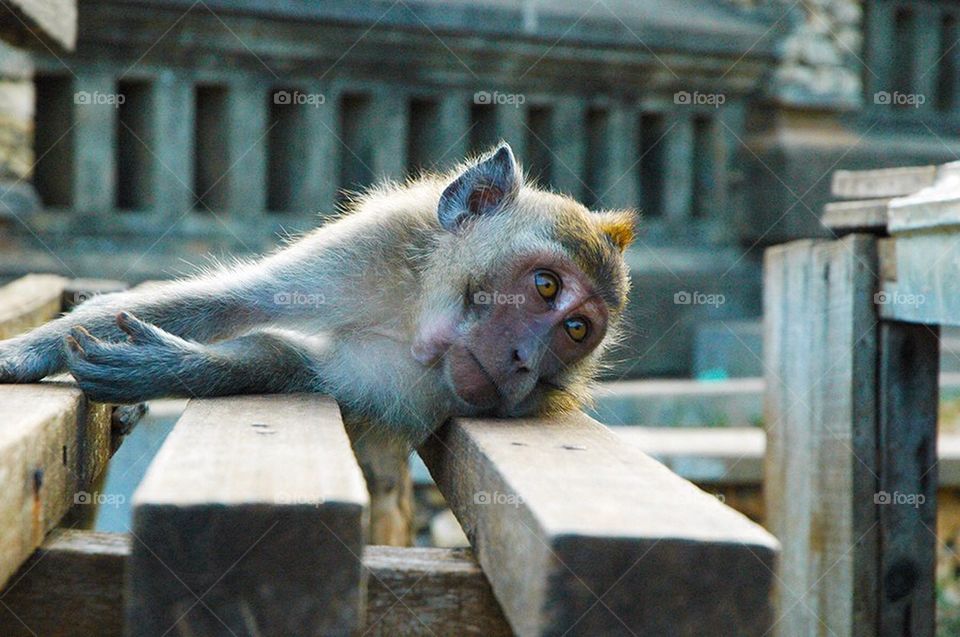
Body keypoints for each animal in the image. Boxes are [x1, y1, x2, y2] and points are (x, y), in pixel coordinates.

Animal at [0, 143, 635, 539]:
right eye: (546, 285)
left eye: (576, 331)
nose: (526, 362)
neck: (416, 316)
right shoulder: (371, 248)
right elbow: (230, 302)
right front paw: (26, 351)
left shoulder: (420, 390)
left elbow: (294, 366)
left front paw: (167, 367)